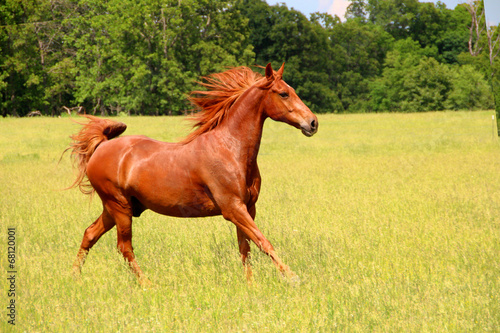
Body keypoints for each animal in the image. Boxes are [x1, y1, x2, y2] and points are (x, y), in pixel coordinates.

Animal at [67, 63, 316, 286]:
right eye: (283, 93)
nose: (313, 123)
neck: (231, 149)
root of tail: (101, 147)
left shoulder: (248, 208)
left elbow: (245, 248)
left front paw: (251, 285)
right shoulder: (233, 208)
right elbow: (263, 242)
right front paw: (293, 277)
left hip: (115, 208)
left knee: (90, 234)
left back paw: (75, 277)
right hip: (119, 208)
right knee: (124, 247)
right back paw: (148, 284)